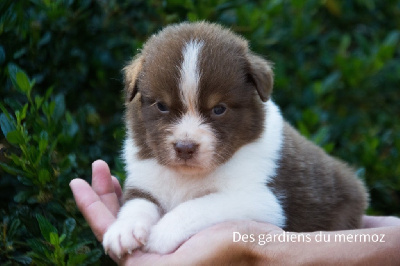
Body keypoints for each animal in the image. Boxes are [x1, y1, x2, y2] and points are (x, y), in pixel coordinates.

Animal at [101, 21, 368, 256]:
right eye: (162, 106)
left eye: (219, 109)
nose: (185, 147)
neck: (186, 176)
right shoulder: (145, 178)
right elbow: (137, 203)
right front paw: (123, 231)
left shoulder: (261, 200)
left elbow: (201, 205)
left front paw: (162, 233)